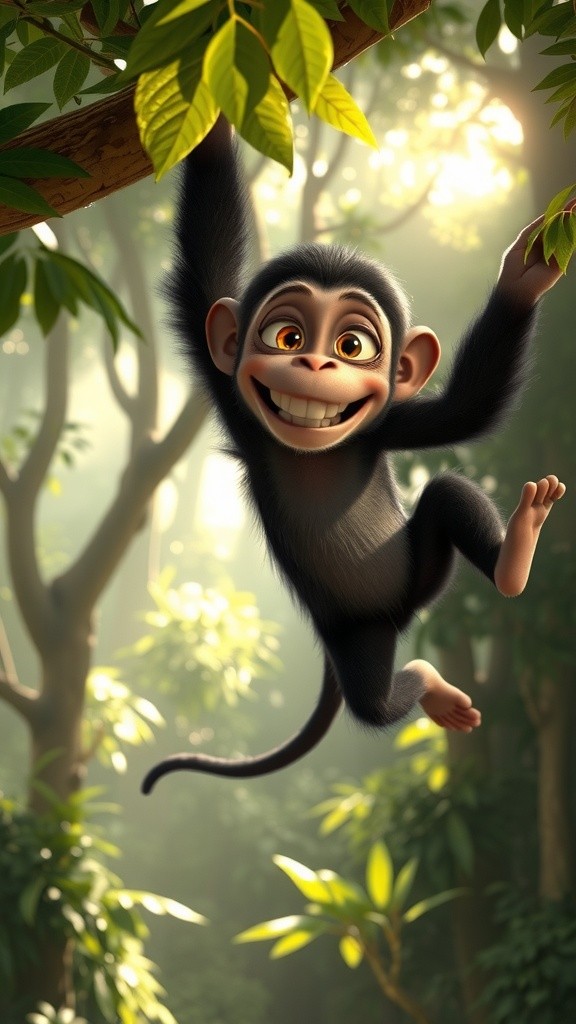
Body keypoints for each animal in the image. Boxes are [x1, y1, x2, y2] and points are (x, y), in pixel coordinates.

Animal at [141, 118, 567, 794]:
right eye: (284, 335)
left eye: (353, 345)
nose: (315, 364)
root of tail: (397, 615)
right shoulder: (237, 403)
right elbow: (203, 283)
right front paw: (209, 124)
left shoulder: (382, 425)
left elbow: (467, 411)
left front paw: (525, 277)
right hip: (356, 633)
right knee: (374, 702)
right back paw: (431, 685)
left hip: (423, 575)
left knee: (446, 494)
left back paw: (512, 559)